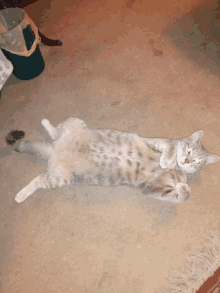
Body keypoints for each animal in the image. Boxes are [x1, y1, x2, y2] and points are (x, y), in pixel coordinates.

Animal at [5, 116, 220, 203]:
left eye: (197, 161)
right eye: (189, 150)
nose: (187, 161)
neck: (178, 168)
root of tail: (55, 150)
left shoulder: (153, 187)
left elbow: (182, 196)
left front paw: (184, 187)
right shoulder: (155, 141)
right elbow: (171, 146)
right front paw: (166, 160)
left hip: (59, 178)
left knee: (38, 179)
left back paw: (21, 194)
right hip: (74, 124)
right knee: (54, 130)